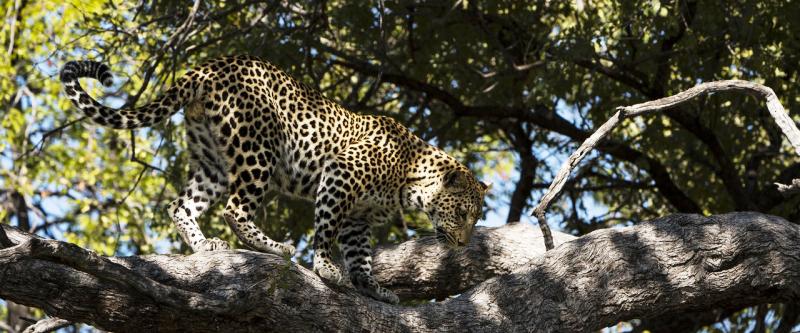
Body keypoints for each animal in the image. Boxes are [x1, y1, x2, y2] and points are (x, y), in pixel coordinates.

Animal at [61, 55, 488, 304]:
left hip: (213, 161)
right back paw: (274, 247)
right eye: (462, 214)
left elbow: (360, 255)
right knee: (235, 208)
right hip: (257, 149)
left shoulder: (358, 218)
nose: (463, 244)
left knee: (181, 204)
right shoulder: (340, 176)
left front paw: (373, 288)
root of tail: (207, 66)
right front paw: (326, 267)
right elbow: (326, 230)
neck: (410, 177)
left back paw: (205, 246)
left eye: (474, 218)